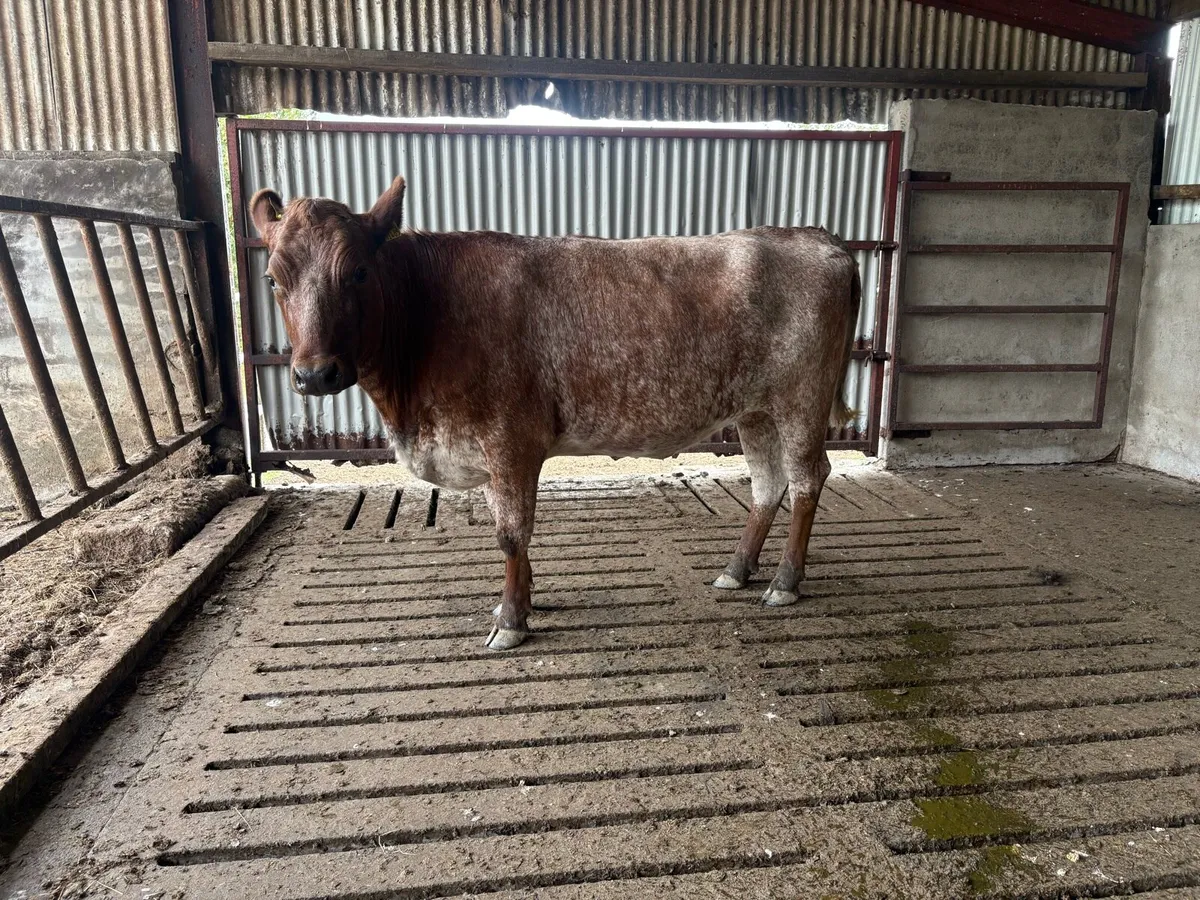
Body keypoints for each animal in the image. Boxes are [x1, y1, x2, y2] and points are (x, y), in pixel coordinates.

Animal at [250, 176, 860, 651]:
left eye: (356, 272)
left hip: (801, 396)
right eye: (272, 278)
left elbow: (511, 533)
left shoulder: (510, 440)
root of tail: (817, 237)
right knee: (767, 483)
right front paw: (524, 604)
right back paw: (736, 571)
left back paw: (784, 582)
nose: (314, 374)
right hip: (755, 408)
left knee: (808, 478)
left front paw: (510, 622)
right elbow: (513, 532)